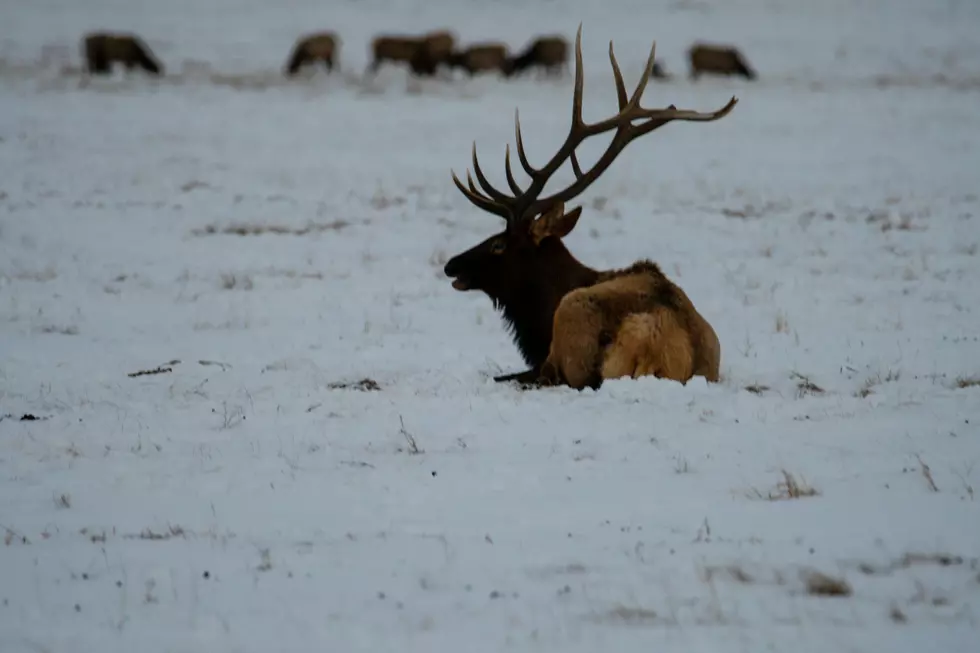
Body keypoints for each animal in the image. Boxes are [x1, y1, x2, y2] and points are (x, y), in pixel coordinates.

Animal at [443, 25, 737, 391]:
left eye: (498, 244)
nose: (451, 265)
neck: (539, 320)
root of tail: (659, 343)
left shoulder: (547, 353)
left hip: (573, 328)